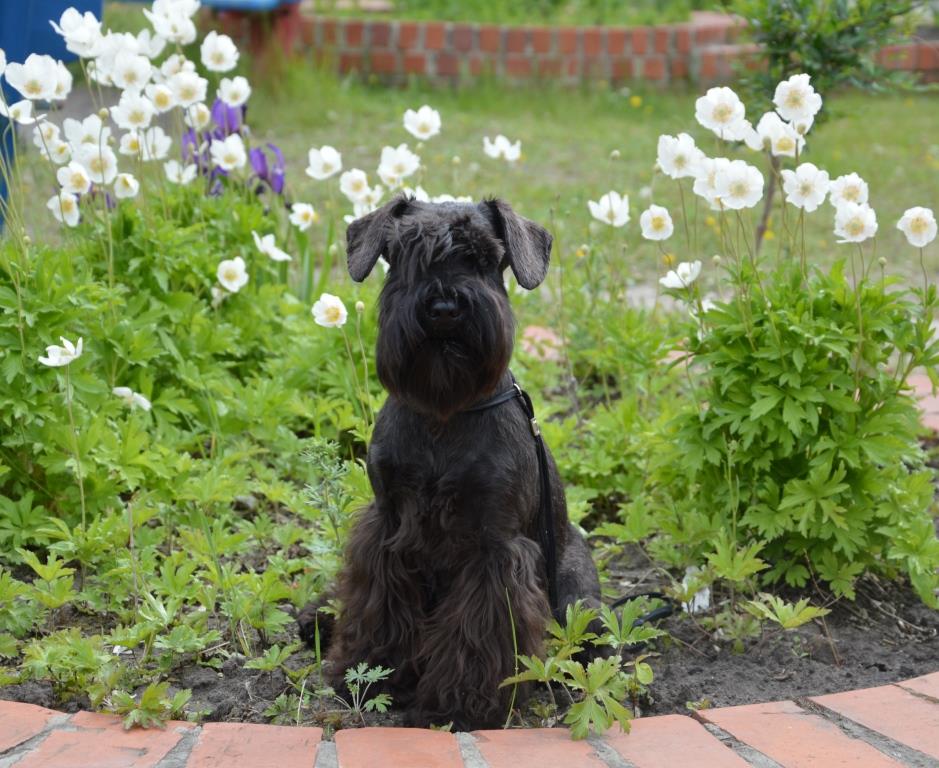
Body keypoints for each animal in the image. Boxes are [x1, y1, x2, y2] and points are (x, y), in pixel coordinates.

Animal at [302, 195, 608, 728]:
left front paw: (460, 703)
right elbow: (377, 604)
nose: (444, 308)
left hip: (575, 596)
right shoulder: (387, 525)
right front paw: (370, 671)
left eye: (485, 258)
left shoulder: (493, 544)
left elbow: (478, 627)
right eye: (402, 252)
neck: (443, 413)